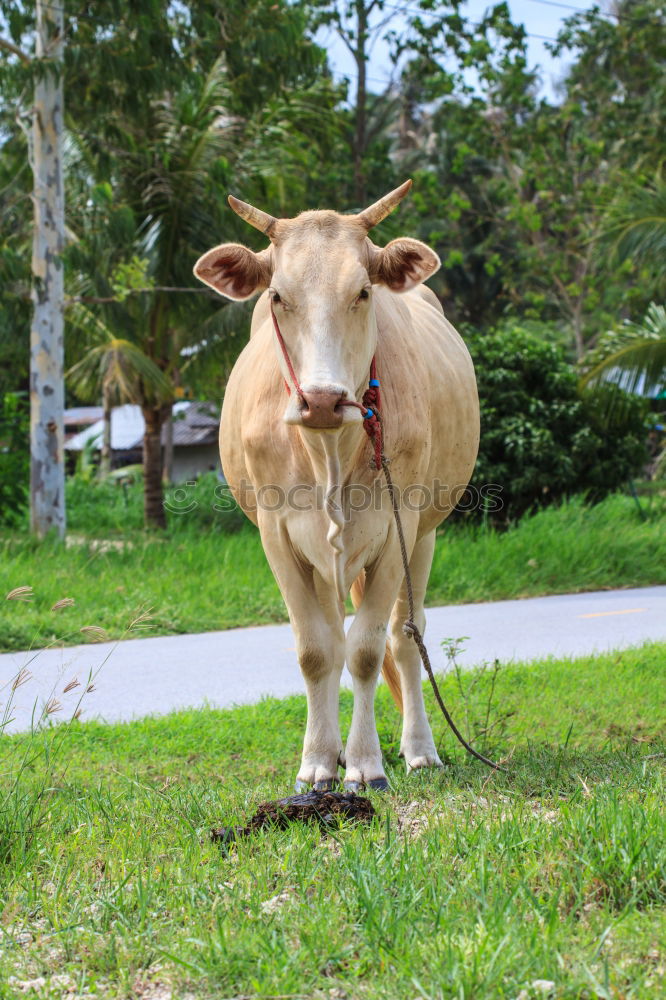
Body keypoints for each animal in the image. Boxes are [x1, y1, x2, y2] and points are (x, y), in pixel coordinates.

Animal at [192, 180, 478, 788]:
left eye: (363, 291)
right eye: (277, 296)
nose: (322, 400)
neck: (328, 452)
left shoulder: (399, 528)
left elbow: (368, 651)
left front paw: (367, 763)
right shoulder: (277, 534)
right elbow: (316, 651)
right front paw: (319, 763)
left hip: (425, 536)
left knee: (406, 636)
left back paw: (419, 748)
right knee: (332, 632)